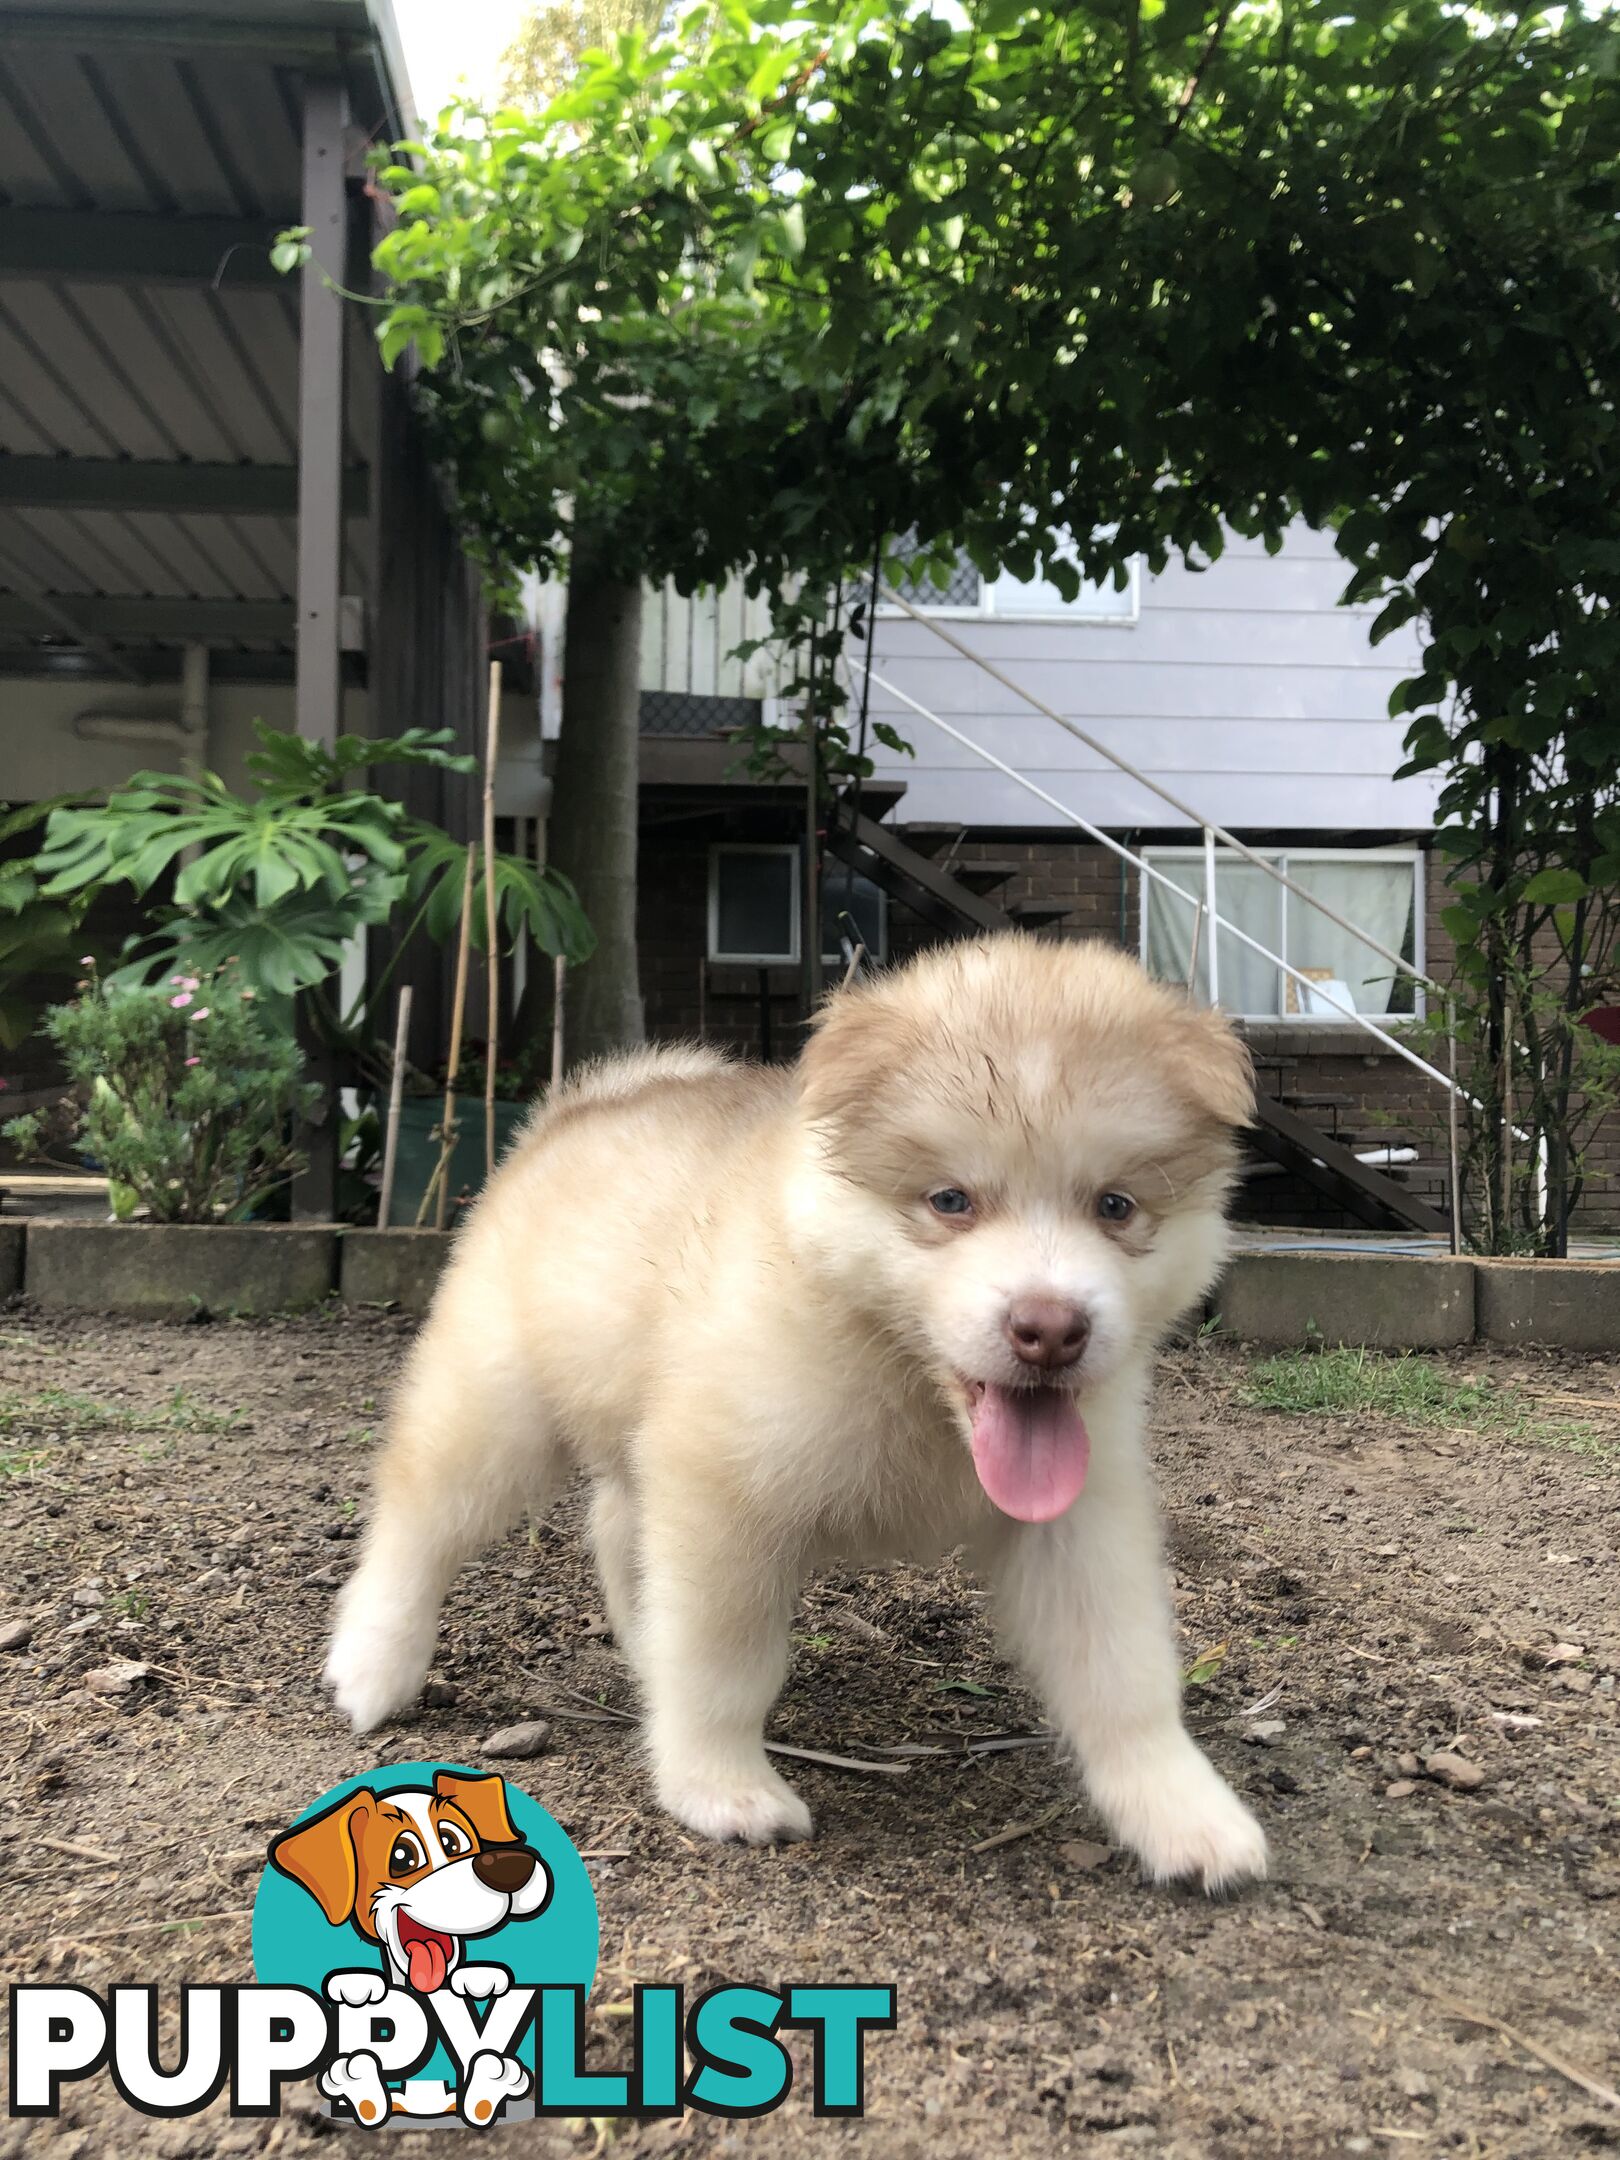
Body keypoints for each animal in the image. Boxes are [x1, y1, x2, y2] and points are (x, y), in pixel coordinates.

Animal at [326, 928, 1270, 1892]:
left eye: (1116, 1206)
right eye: (950, 1201)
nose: (1050, 1330)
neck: (907, 1386)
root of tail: (584, 1106)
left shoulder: (1080, 1521)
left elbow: (1124, 1676)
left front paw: (1183, 1811)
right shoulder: (726, 1492)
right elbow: (726, 1661)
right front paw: (719, 1785)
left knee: (617, 1526)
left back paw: (642, 1651)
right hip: (498, 1409)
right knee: (421, 1521)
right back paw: (374, 1665)